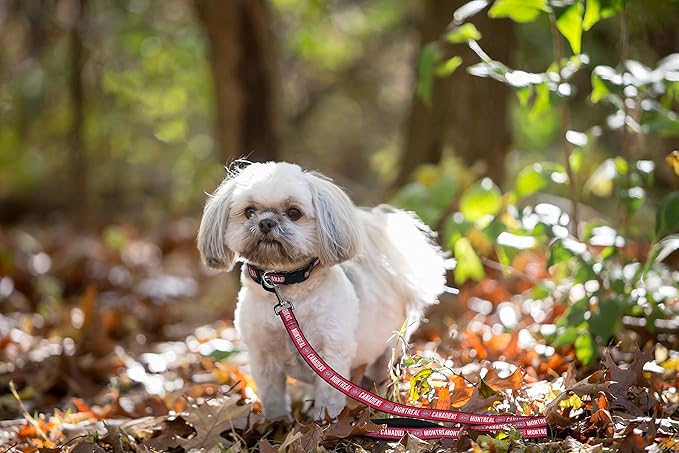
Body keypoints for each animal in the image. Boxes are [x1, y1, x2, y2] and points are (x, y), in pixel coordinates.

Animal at [197, 161, 446, 418]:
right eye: (249, 211)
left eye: (294, 213)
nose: (266, 222)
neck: (286, 288)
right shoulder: (263, 357)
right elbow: (273, 398)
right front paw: (277, 422)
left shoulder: (331, 353)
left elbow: (328, 396)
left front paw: (324, 421)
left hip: (389, 347)